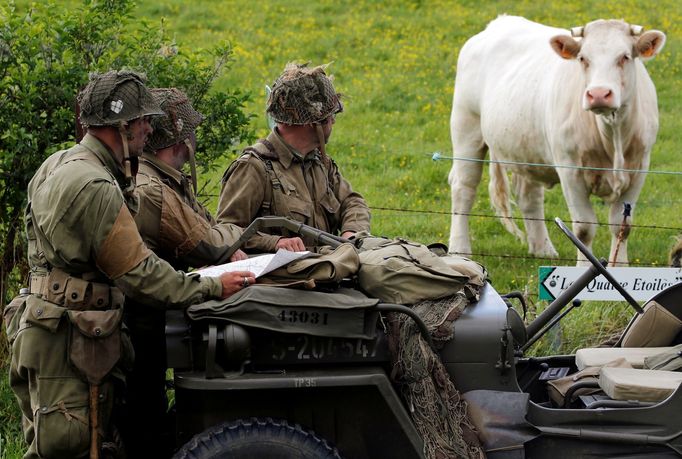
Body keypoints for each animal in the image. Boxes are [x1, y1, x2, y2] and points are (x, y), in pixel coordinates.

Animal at [446, 16, 664, 266]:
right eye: (583, 58)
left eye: (625, 56)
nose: (599, 94)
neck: (612, 135)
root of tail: (499, 21)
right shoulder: (570, 170)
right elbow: (583, 228)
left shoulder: (639, 168)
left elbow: (621, 226)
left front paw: (619, 265)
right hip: (466, 127)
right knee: (464, 187)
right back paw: (459, 249)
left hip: (526, 147)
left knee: (529, 196)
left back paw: (542, 248)